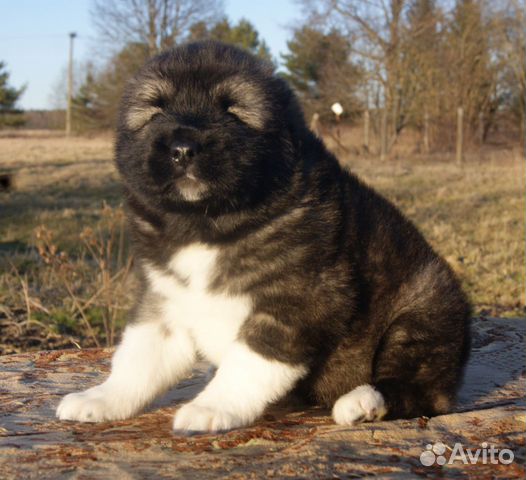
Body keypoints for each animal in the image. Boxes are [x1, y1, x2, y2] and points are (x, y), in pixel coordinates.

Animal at [55, 40, 472, 432]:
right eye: (155, 110)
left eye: (234, 111)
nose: (183, 148)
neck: (208, 225)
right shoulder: (166, 300)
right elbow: (138, 357)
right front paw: (102, 398)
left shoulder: (299, 299)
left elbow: (250, 360)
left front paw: (212, 407)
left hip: (421, 313)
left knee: (419, 391)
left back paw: (362, 403)